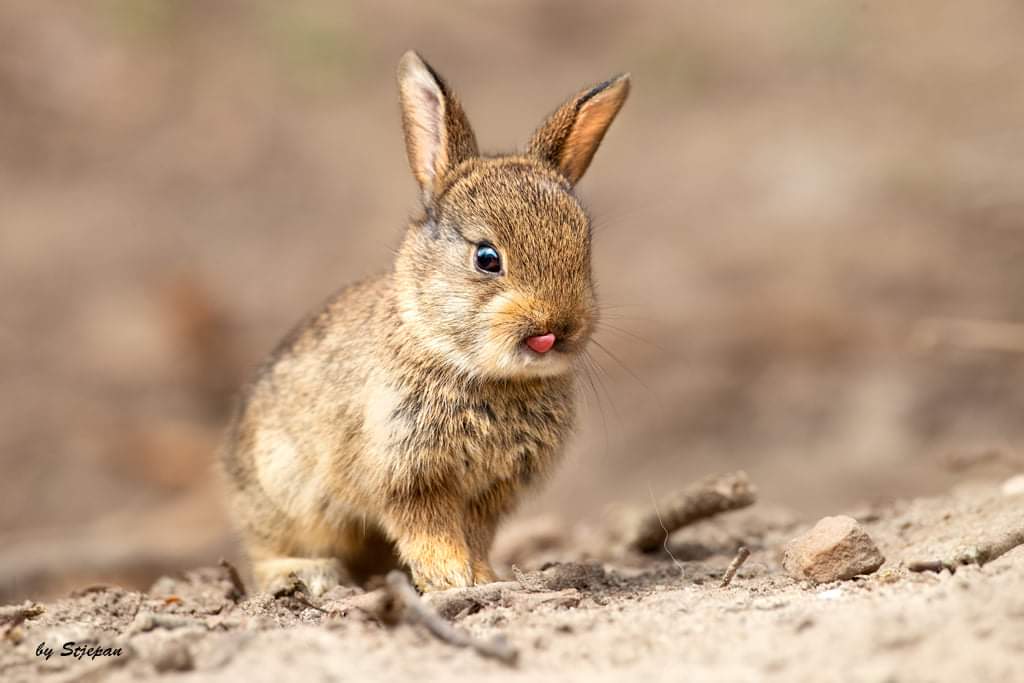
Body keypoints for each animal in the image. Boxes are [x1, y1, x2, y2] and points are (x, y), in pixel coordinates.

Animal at [220, 50, 626, 593]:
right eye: (487, 258)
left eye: (585, 251)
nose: (556, 328)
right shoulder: (408, 476)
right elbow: (427, 527)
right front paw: (451, 579)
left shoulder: (490, 492)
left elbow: (475, 533)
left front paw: (483, 576)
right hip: (283, 491)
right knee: (266, 551)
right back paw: (307, 573)